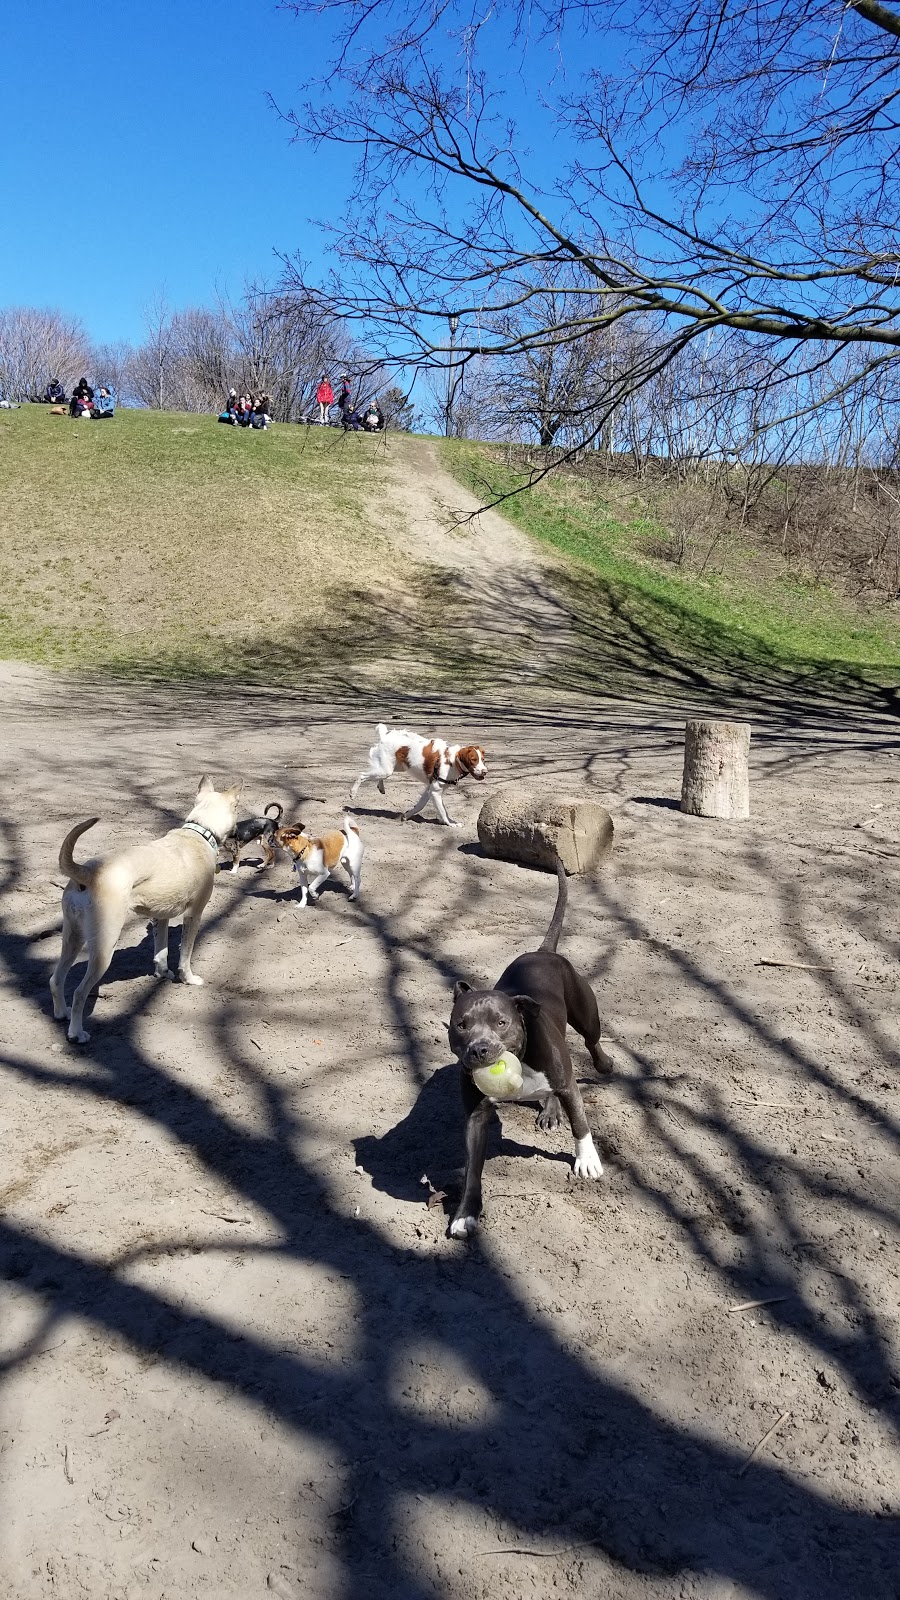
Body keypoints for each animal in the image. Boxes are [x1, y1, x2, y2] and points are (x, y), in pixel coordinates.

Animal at [50, 777, 240, 1049]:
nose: (239, 832)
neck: (199, 832)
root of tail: (86, 872)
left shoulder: (161, 916)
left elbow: (161, 950)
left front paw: (162, 973)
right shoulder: (193, 915)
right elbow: (185, 954)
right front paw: (188, 978)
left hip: (72, 938)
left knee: (56, 980)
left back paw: (61, 1013)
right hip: (103, 948)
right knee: (78, 993)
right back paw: (76, 1033)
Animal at [350, 726, 486, 825]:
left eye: (483, 759)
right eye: (473, 760)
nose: (485, 771)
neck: (452, 761)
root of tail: (385, 735)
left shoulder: (429, 789)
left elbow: (420, 805)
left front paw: (406, 816)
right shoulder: (435, 791)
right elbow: (443, 811)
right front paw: (450, 823)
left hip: (395, 767)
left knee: (378, 776)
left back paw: (381, 787)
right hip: (386, 769)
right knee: (362, 775)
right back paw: (353, 793)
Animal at [441, 864, 608, 1235]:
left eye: (501, 1022)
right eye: (462, 1025)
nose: (479, 1050)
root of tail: (543, 951)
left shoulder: (567, 1084)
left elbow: (580, 1123)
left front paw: (587, 1160)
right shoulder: (475, 1117)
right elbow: (472, 1170)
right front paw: (465, 1213)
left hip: (586, 1013)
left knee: (591, 1040)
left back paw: (604, 1064)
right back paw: (549, 1110)